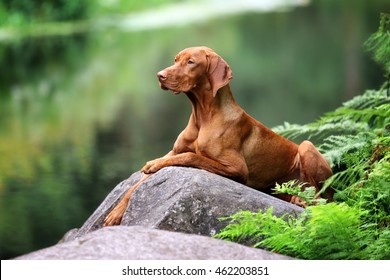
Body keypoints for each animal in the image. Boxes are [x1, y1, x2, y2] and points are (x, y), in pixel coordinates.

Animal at [103, 46, 332, 225]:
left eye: (191, 62)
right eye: (175, 60)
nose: (160, 75)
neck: (202, 116)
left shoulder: (237, 168)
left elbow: (192, 156)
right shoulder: (173, 152)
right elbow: (137, 184)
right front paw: (116, 212)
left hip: (306, 147)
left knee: (320, 198)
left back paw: (300, 200)